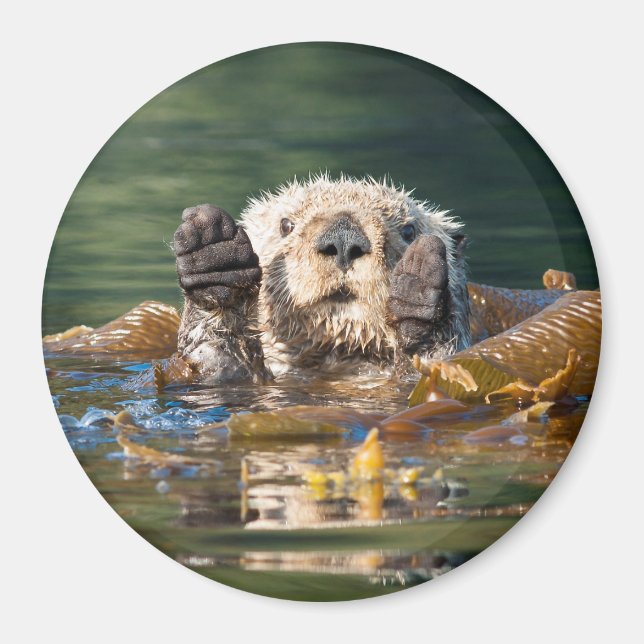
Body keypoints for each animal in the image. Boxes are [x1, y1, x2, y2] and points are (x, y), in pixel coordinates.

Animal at [173, 175, 471, 383]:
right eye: (286, 225)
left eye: (409, 231)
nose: (343, 238)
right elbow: (217, 360)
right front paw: (214, 255)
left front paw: (417, 293)